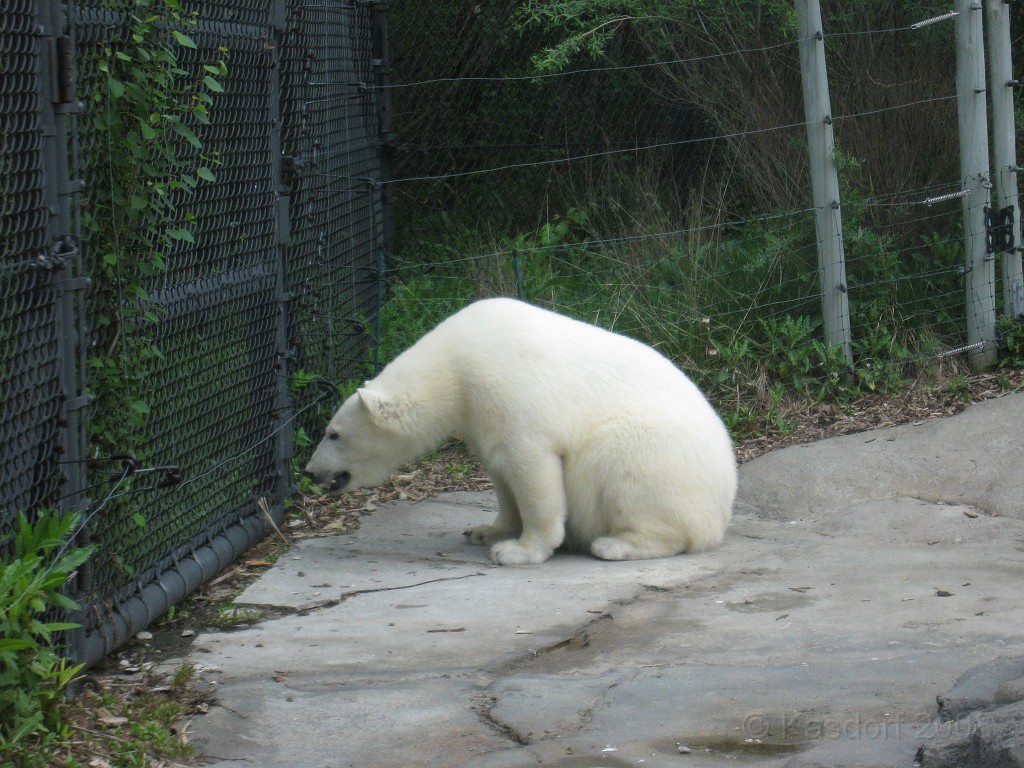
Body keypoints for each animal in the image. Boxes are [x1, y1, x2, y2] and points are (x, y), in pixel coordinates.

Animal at [303, 296, 737, 569]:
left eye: (333, 434)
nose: (311, 471)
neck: (455, 363)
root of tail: (724, 502)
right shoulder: (478, 413)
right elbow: (500, 470)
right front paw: (486, 531)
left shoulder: (509, 388)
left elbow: (532, 468)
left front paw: (518, 551)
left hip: (659, 455)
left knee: (622, 464)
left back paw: (614, 543)